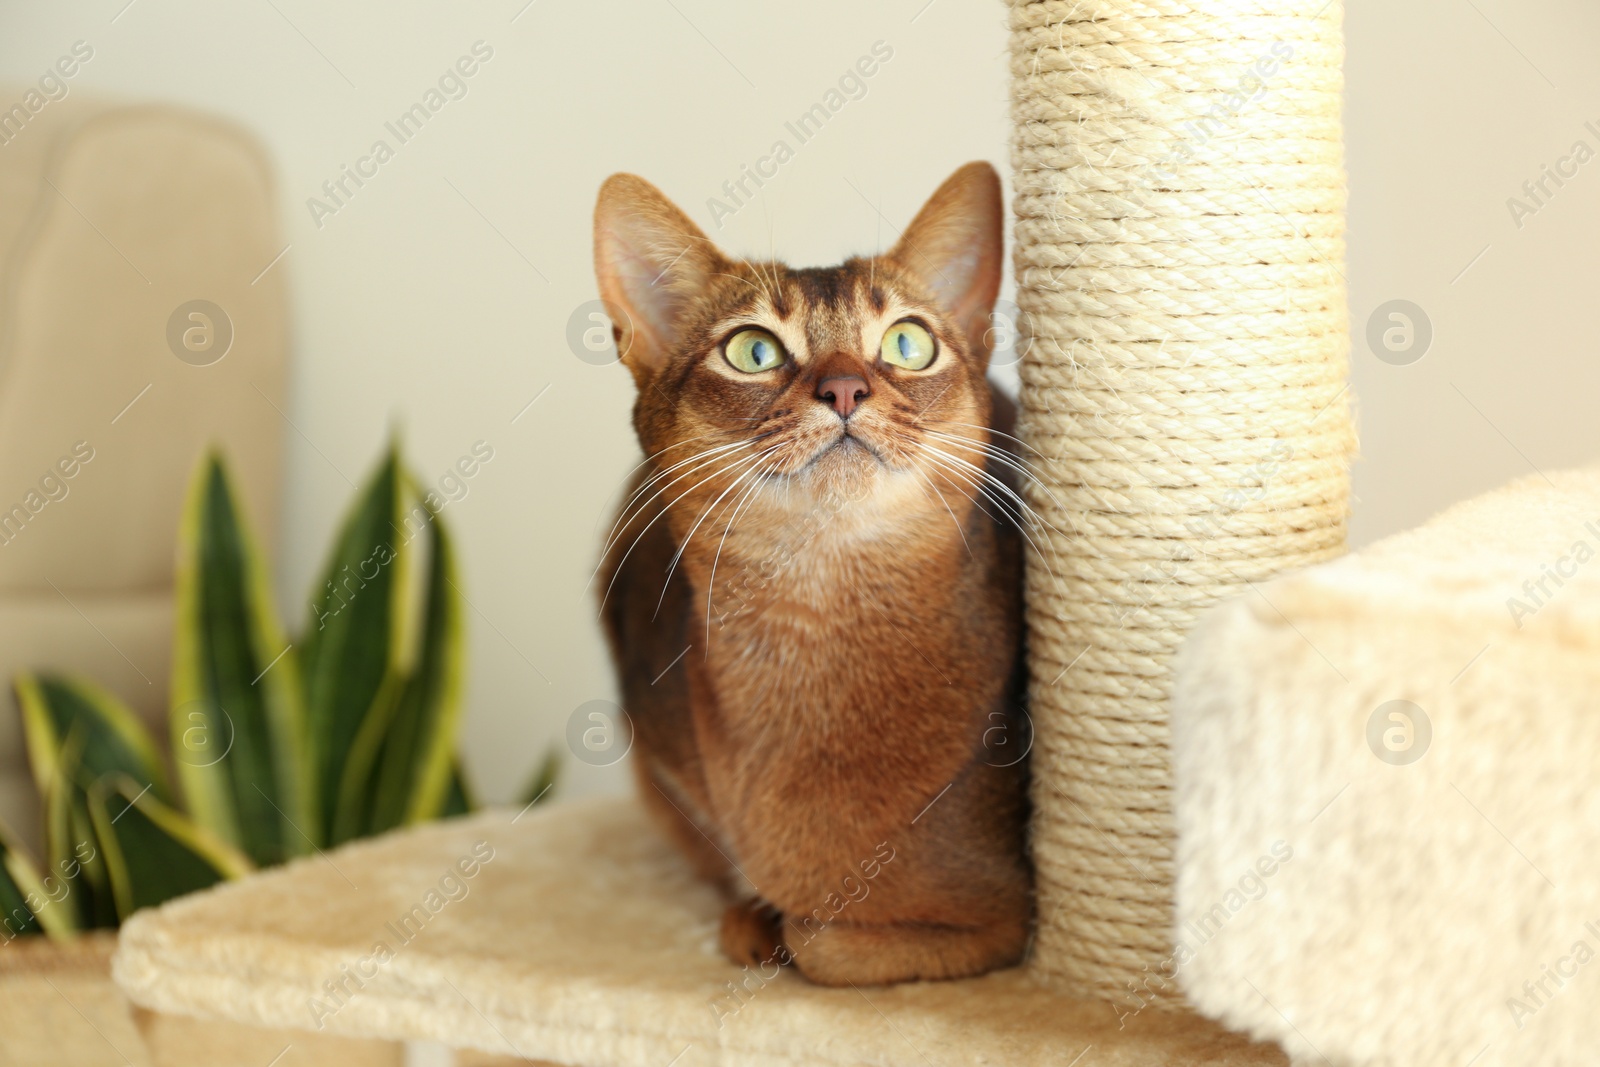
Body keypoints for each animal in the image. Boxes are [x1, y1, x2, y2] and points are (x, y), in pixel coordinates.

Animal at [595, 163, 1030, 991]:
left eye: (909, 342)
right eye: (753, 351)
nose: (845, 390)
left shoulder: (1014, 921)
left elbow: (823, 940)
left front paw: (781, 922)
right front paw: (752, 913)